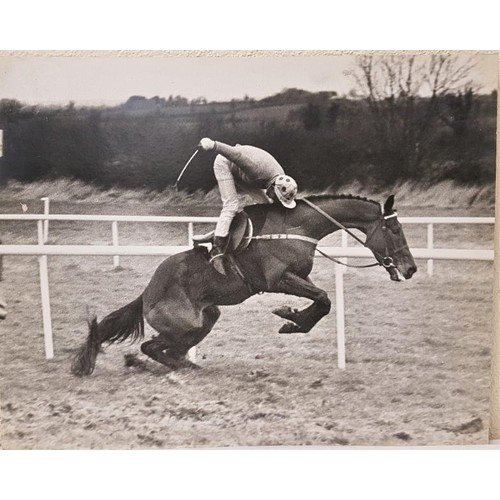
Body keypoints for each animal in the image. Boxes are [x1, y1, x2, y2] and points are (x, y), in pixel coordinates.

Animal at [69, 194, 414, 376]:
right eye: (396, 230)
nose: (410, 268)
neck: (297, 227)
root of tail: (145, 295)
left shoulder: (300, 276)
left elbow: (321, 300)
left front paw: (292, 318)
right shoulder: (278, 279)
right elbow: (324, 298)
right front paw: (291, 319)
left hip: (207, 317)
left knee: (168, 347)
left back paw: (173, 364)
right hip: (185, 321)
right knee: (152, 346)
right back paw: (164, 363)